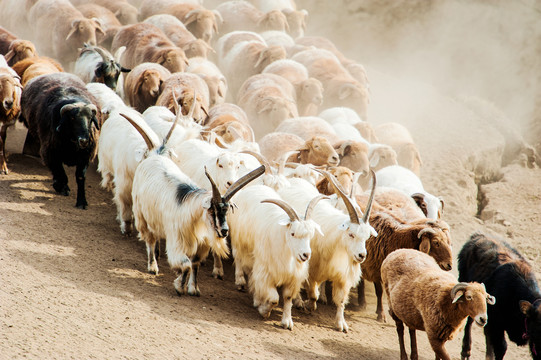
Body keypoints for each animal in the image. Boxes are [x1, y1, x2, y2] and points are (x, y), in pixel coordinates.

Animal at [20, 72, 101, 210]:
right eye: (72, 118)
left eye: (90, 118)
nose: (84, 140)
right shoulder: (50, 152)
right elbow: (59, 171)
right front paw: (61, 187)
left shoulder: (85, 155)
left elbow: (80, 177)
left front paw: (82, 201)